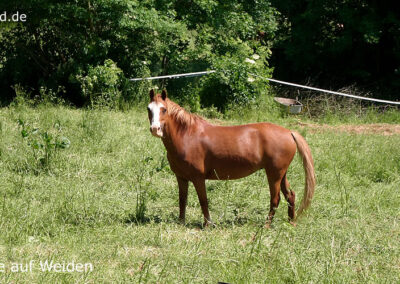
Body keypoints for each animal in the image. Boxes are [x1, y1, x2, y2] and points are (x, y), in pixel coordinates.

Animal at [147, 90, 316, 227]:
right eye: (149, 109)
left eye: (164, 109)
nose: (155, 129)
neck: (187, 135)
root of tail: (289, 132)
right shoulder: (181, 177)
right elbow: (182, 200)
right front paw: (181, 222)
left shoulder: (198, 178)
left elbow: (203, 200)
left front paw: (208, 224)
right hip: (281, 174)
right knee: (290, 195)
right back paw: (291, 222)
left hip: (274, 175)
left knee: (275, 199)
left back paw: (266, 226)